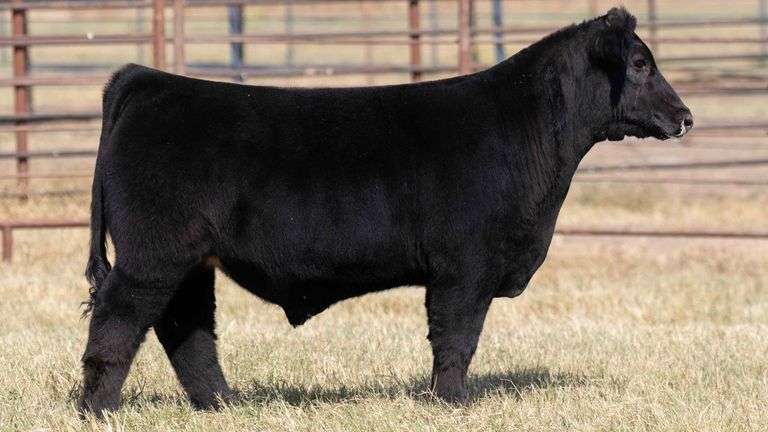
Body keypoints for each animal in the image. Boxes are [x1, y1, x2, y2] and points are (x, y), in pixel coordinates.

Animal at [79, 7, 692, 416]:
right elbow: (456, 337)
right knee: (118, 322)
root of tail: (145, 79)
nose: (685, 116)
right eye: (641, 63)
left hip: (189, 259)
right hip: (152, 255)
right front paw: (452, 404)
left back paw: (223, 405)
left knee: (187, 329)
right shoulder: (464, 268)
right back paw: (99, 408)